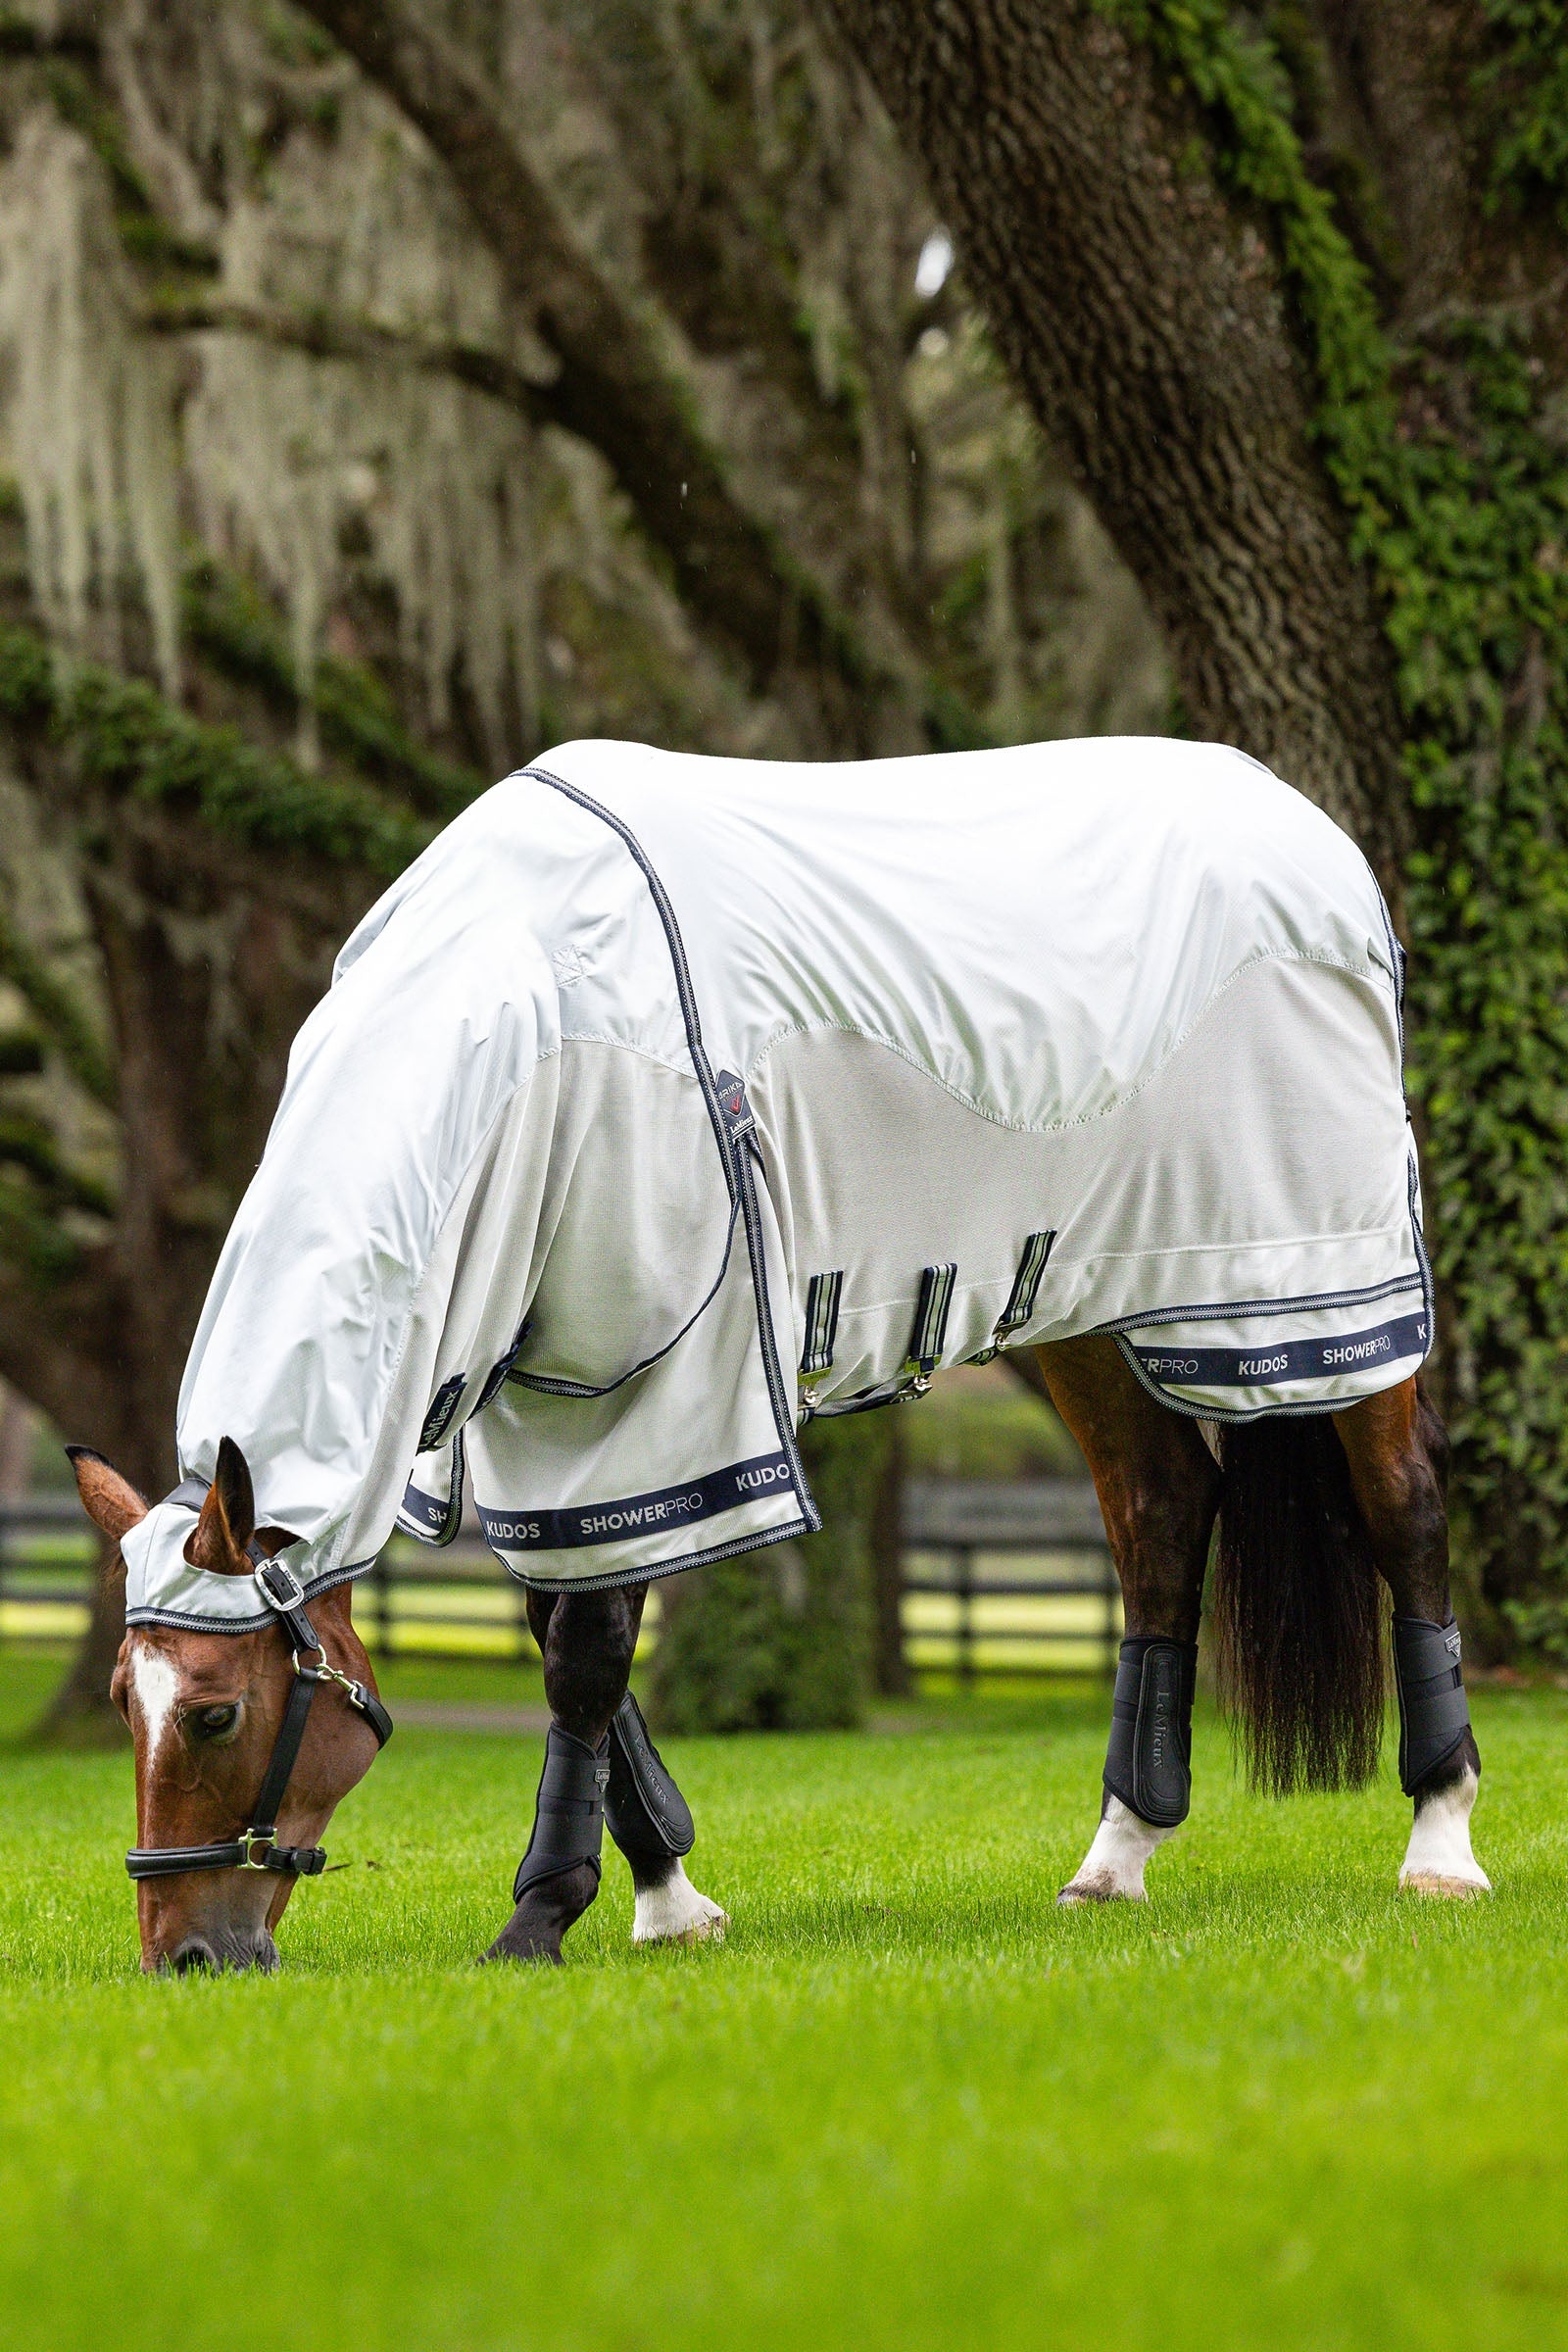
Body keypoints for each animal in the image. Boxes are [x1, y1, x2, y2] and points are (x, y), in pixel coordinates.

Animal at [66, 736, 1486, 1969]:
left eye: (215, 1709)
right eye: (123, 1703)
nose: (185, 1955)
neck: (539, 1004)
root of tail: (1310, 834)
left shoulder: (655, 1401)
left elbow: (587, 1657)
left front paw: (543, 1915)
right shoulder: (537, 1416)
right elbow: (572, 1638)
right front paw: (668, 1899)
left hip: (1320, 1292)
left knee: (1402, 1506)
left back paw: (1441, 1844)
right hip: (1091, 1303)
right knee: (1161, 1515)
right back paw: (1116, 1856)